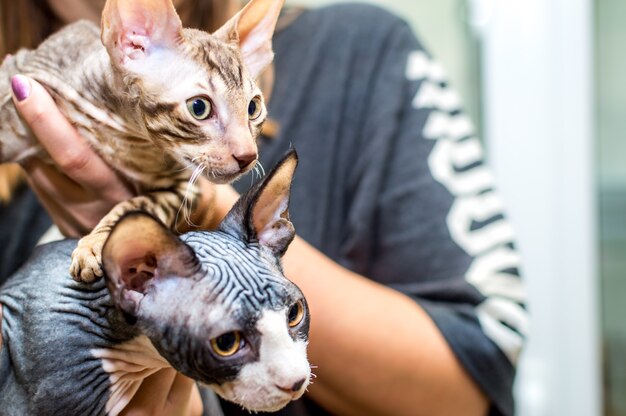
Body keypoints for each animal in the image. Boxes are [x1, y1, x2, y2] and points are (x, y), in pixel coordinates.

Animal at [0, 0, 282, 282]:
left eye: (253, 108)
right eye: (199, 107)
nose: (247, 156)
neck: (122, 131)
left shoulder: (182, 188)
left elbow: (135, 205)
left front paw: (97, 243)